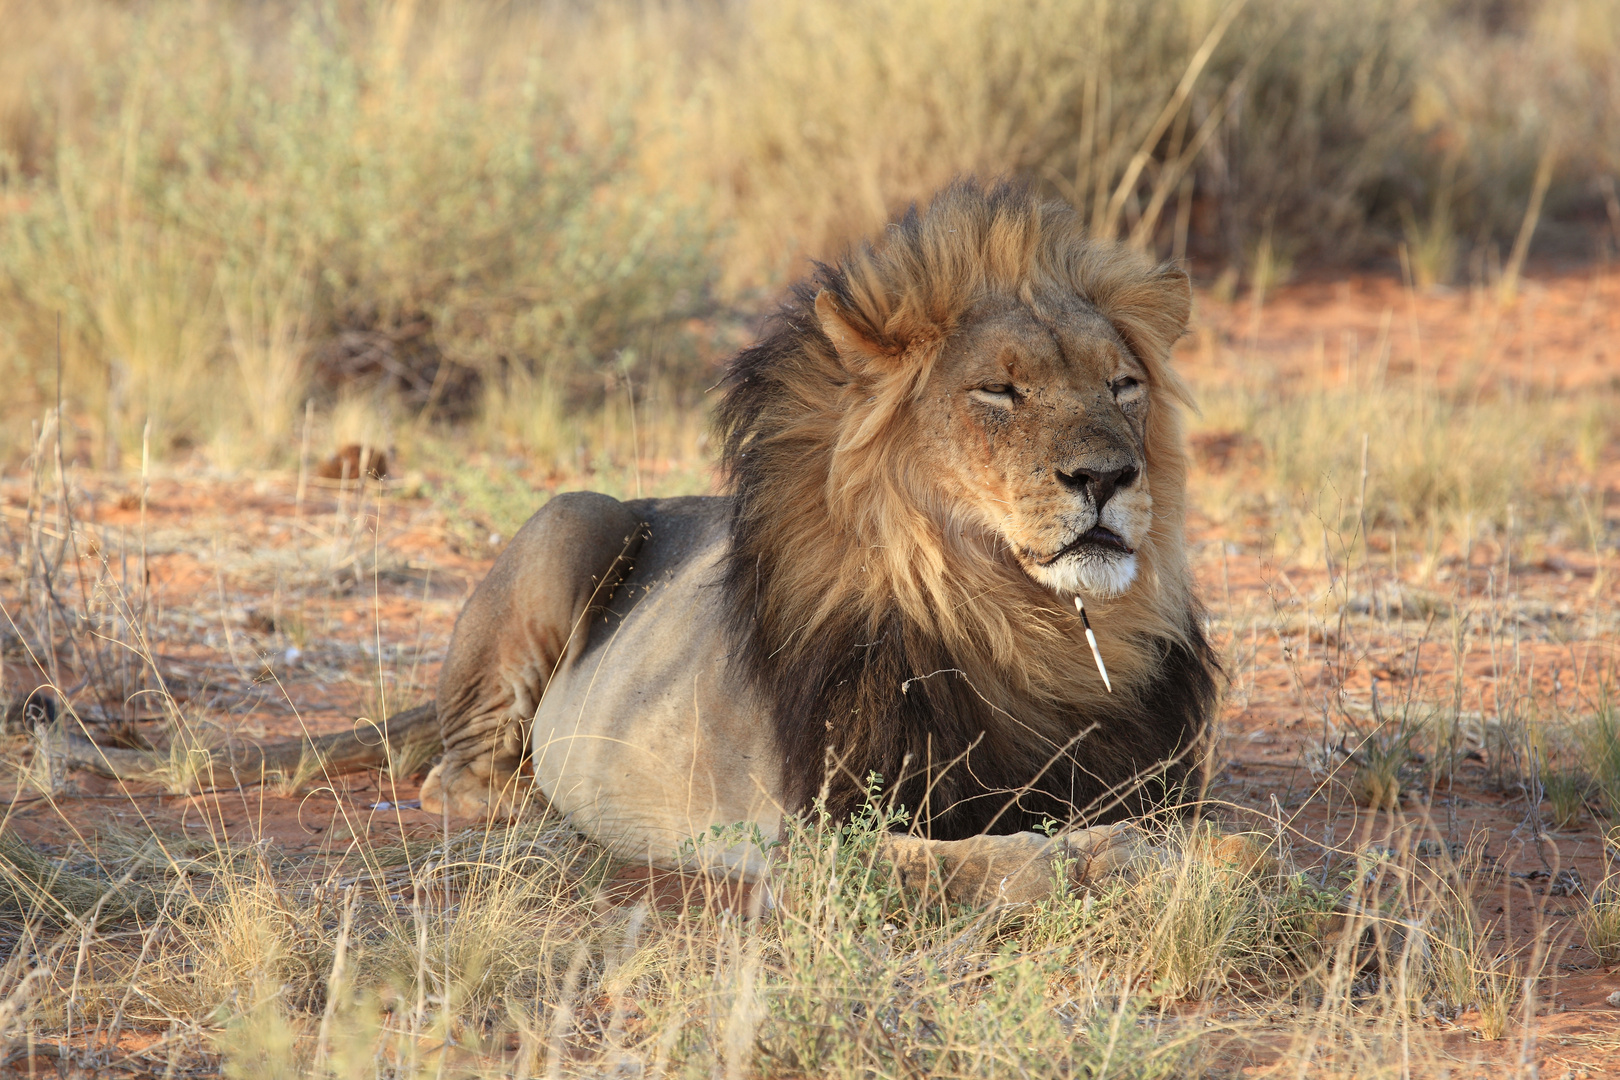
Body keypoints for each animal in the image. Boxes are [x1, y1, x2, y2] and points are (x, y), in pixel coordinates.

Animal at [417, 179, 1218, 906]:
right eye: (998, 390)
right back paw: (542, 812)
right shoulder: (816, 840)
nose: (1107, 475)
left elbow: (1178, 828)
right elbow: (1003, 859)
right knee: (454, 777)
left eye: (1123, 385)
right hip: (576, 516)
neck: (1023, 627)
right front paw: (1114, 856)